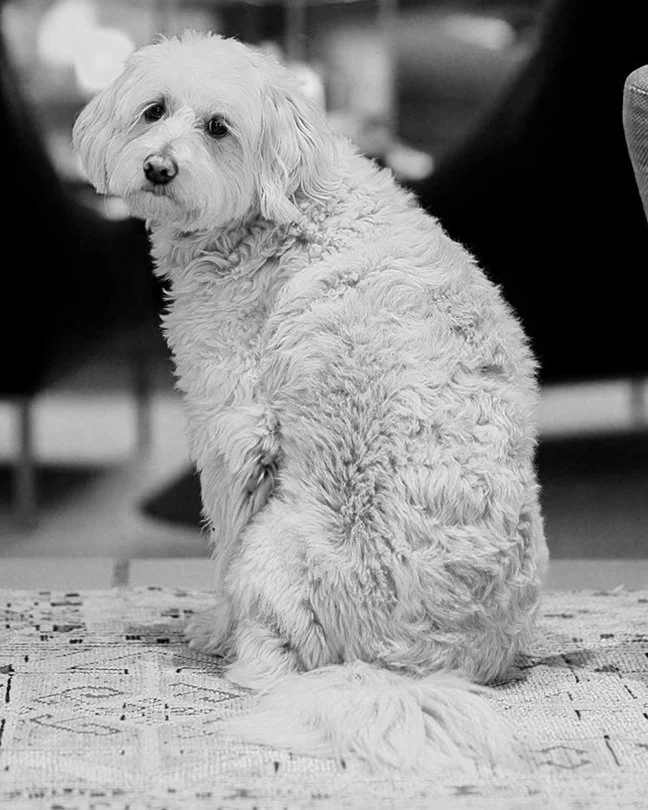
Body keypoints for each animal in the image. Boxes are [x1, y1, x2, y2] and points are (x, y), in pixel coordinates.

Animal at [73, 31, 548, 772]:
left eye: (219, 127)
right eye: (155, 110)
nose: (157, 168)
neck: (286, 209)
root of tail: (407, 669)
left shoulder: (233, 430)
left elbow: (221, 546)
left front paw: (213, 627)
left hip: (276, 551)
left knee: (271, 661)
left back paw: (243, 661)